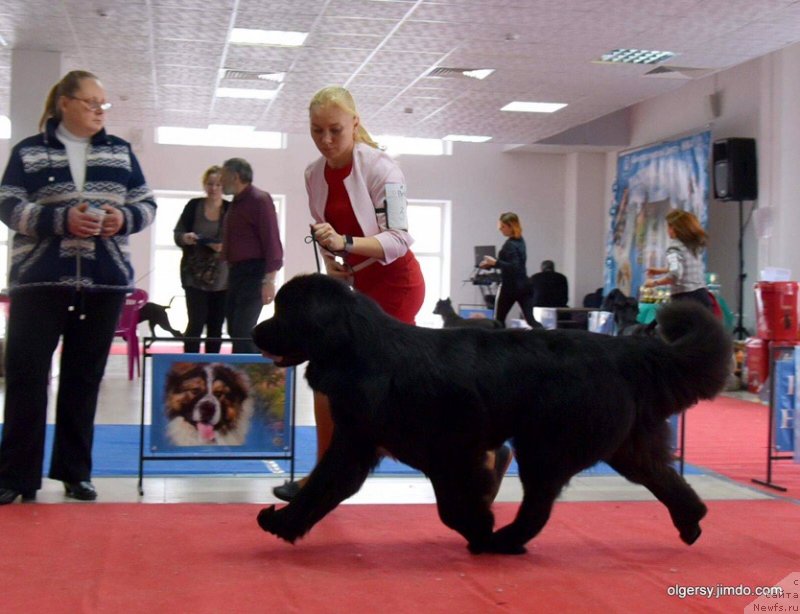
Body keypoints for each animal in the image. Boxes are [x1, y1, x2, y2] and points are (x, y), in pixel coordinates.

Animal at [252, 276, 732, 556]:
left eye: (283, 310)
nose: (255, 331)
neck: (359, 349)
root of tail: (625, 351)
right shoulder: (358, 443)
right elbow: (322, 488)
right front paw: (283, 522)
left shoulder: (445, 452)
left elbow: (450, 506)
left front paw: (480, 529)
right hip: (625, 447)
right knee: (663, 477)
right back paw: (691, 521)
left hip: (545, 447)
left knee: (538, 505)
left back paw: (506, 541)